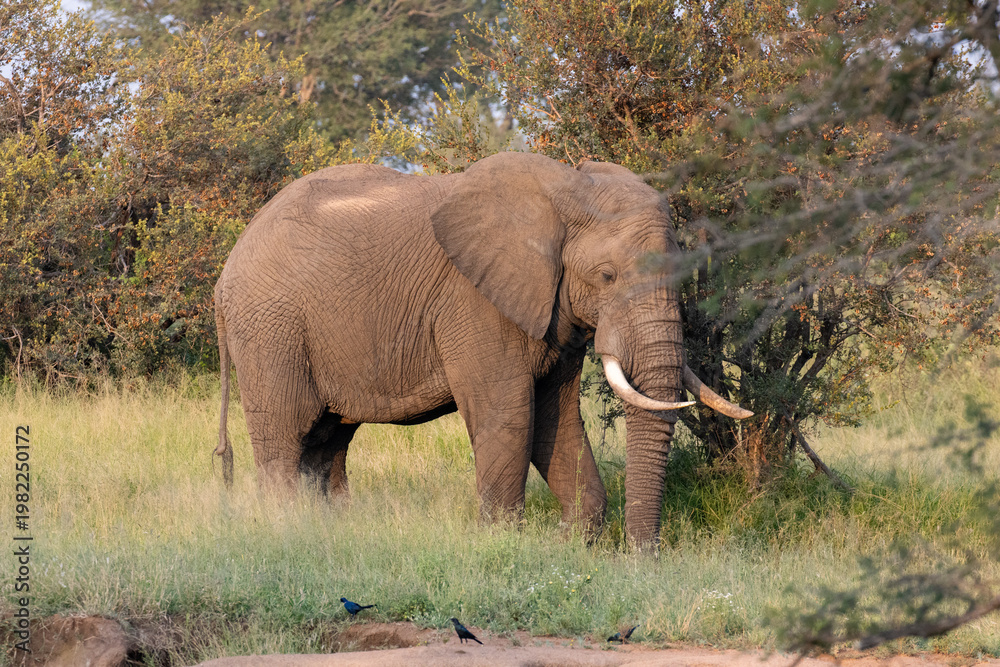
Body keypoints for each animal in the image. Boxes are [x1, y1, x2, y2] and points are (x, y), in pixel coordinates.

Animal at [213, 151, 752, 548]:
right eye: (607, 276)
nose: (643, 560)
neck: (563, 192)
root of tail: (224, 275)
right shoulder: (475, 303)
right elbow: (510, 415)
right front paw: (502, 544)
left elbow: (556, 420)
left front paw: (574, 546)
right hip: (270, 332)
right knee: (287, 437)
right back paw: (288, 532)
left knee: (327, 442)